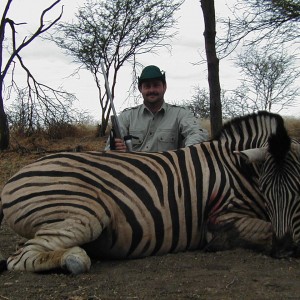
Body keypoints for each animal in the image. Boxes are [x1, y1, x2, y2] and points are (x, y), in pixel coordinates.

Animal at [0, 110, 298, 274]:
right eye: (266, 190)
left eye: (297, 190)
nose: (284, 250)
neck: (237, 167)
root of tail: (16, 176)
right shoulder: (222, 216)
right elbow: (263, 229)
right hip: (87, 214)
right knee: (20, 257)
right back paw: (74, 259)